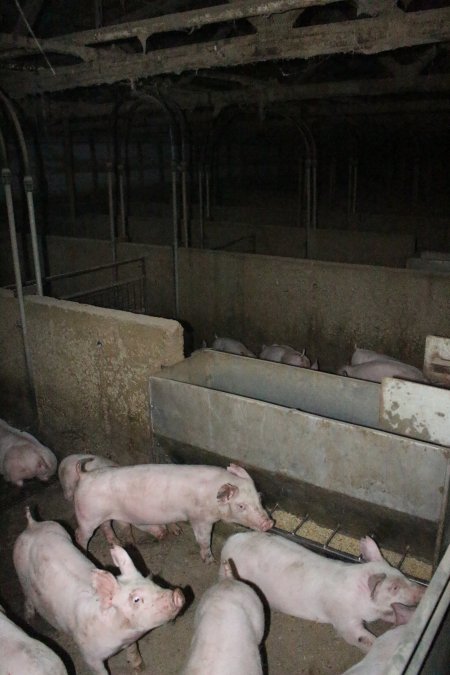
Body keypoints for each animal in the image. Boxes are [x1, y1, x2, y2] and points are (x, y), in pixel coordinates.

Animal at [12, 512, 185, 675]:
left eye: (152, 582)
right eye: (136, 599)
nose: (178, 594)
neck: (121, 634)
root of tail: (32, 525)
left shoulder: (129, 640)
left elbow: (133, 649)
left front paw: (139, 668)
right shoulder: (89, 655)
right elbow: (99, 670)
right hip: (21, 573)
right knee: (27, 595)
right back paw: (29, 617)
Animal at [74, 462, 272, 564]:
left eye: (259, 498)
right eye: (241, 506)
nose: (269, 523)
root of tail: (85, 476)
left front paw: (178, 531)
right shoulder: (199, 519)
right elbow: (203, 540)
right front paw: (210, 561)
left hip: (102, 515)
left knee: (106, 526)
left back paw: (116, 542)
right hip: (87, 516)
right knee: (79, 534)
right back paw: (84, 554)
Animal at [221, 532, 426, 656]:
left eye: (402, 574)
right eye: (394, 588)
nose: (422, 591)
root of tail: (230, 542)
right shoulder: (343, 619)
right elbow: (358, 637)